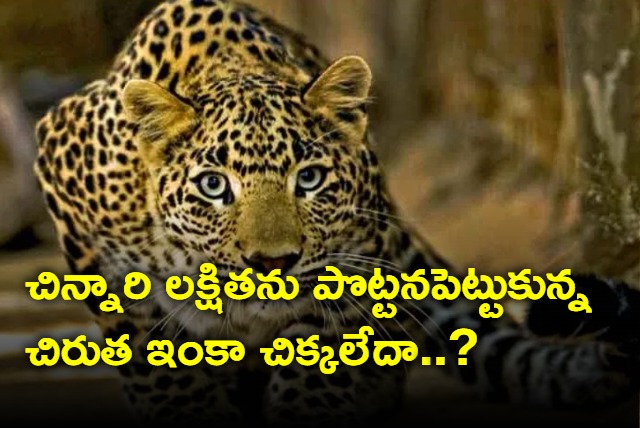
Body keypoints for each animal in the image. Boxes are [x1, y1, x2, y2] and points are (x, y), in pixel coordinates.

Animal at [33, 0, 640, 426]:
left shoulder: (353, 272)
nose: (271, 264)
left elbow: (321, 371)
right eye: (213, 186)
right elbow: (151, 356)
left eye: (309, 179)